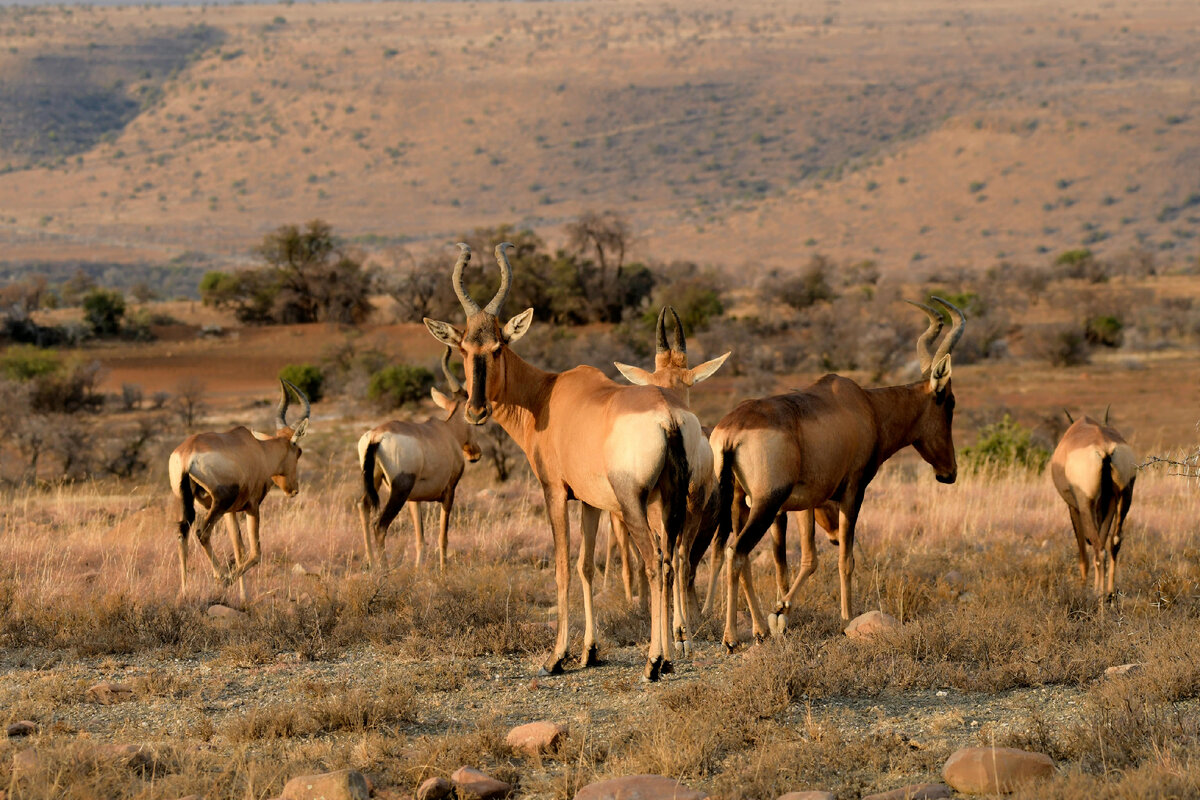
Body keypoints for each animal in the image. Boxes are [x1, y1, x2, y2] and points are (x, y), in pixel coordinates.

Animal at [169, 381, 312, 599]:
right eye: (299, 451)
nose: (293, 490)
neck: (258, 449)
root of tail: (187, 455)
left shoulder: (231, 512)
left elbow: (239, 551)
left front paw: (244, 596)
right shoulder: (252, 507)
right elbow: (255, 552)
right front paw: (233, 584)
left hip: (189, 504)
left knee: (182, 534)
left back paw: (185, 591)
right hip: (220, 503)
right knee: (202, 532)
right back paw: (221, 576)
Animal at [355, 347, 482, 573]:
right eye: (472, 422)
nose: (475, 454)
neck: (446, 431)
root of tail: (376, 436)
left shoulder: (414, 499)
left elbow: (420, 537)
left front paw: (417, 569)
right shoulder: (449, 491)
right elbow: (443, 536)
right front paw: (443, 570)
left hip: (375, 482)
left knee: (364, 506)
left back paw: (371, 563)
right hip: (399, 489)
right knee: (380, 525)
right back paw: (384, 571)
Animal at [424, 244, 710, 681]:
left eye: (497, 346)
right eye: (464, 348)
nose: (475, 411)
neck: (549, 394)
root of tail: (668, 414)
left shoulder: (555, 492)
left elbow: (560, 567)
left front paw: (556, 657)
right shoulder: (590, 501)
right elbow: (585, 566)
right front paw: (589, 652)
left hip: (635, 503)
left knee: (654, 562)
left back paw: (653, 662)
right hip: (672, 499)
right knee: (672, 560)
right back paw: (669, 656)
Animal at [710, 297, 964, 647]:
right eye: (948, 401)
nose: (949, 472)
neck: (865, 404)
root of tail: (731, 432)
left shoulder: (804, 501)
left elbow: (808, 558)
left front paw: (781, 612)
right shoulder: (853, 490)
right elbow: (846, 557)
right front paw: (845, 617)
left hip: (738, 501)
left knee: (736, 552)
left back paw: (759, 628)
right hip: (766, 503)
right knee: (737, 551)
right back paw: (732, 638)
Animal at [1051, 410, 1132, 604]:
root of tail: (1104, 448)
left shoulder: (1073, 507)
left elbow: (1082, 551)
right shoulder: (1109, 503)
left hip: (1086, 504)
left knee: (1098, 550)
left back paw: (1099, 599)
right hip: (1125, 496)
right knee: (1113, 542)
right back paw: (1109, 594)